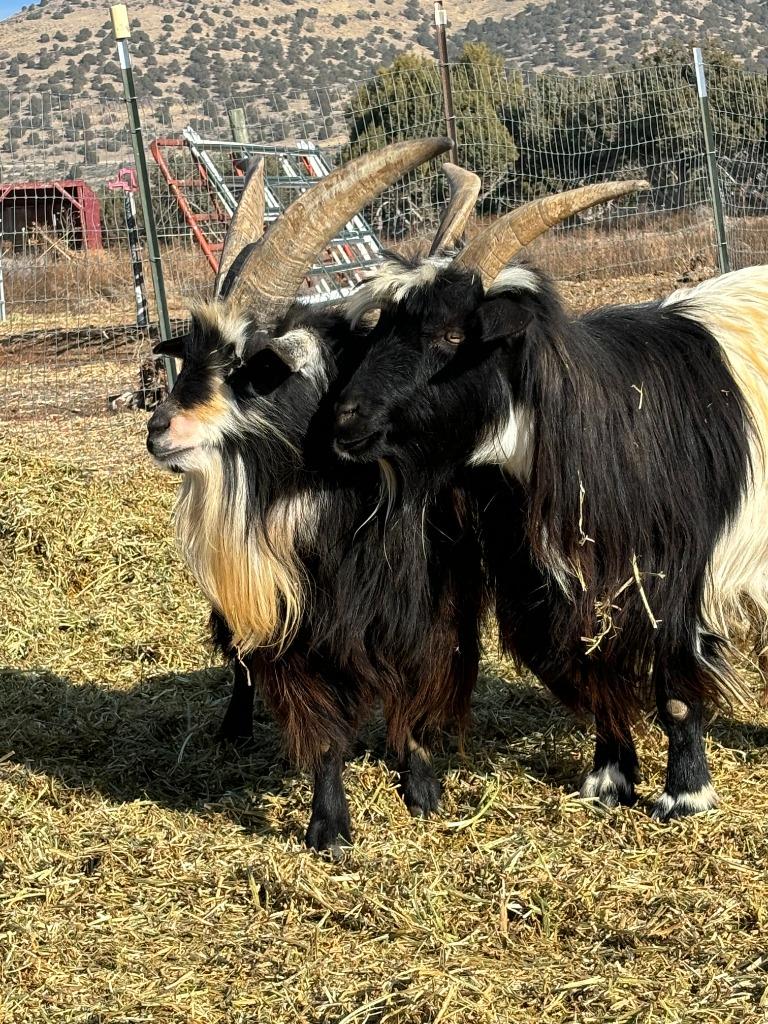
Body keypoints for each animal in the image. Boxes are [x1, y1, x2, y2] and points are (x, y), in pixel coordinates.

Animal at [147, 141, 486, 854]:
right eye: (191, 353)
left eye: (254, 368)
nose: (159, 430)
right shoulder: (296, 626)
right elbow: (318, 721)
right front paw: (329, 827)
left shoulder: (423, 613)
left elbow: (410, 700)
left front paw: (421, 786)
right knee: (238, 658)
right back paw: (234, 727)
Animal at [331, 181, 767, 820]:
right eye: (381, 327)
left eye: (453, 336)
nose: (344, 419)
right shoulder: (553, 588)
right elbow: (594, 676)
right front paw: (607, 781)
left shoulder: (671, 580)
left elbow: (676, 694)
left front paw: (684, 795)